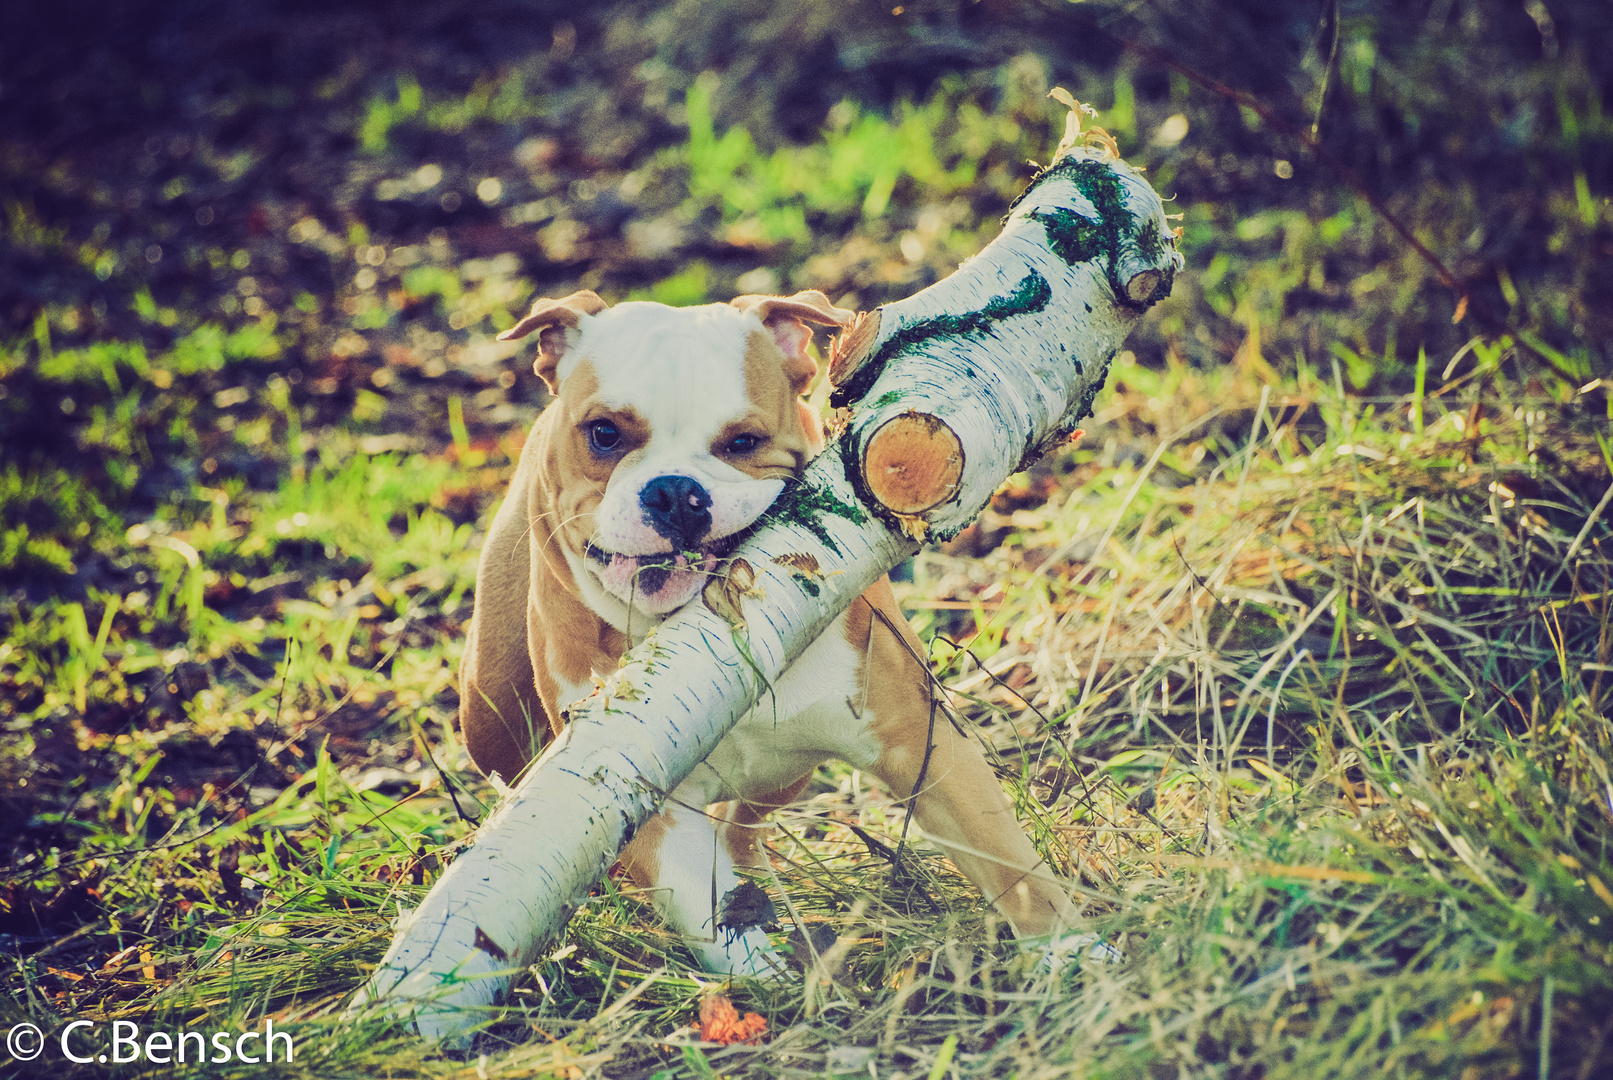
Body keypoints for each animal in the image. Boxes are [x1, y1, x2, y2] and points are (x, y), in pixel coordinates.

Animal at [458, 291, 1083, 980]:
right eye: (604, 433)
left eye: (743, 441)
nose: (674, 492)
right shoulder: (644, 800)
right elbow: (708, 911)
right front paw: (769, 977)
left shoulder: (917, 740)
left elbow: (1009, 859)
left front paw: (1075, 953)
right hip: (489, 718)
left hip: (788, 772)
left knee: (745, 821)